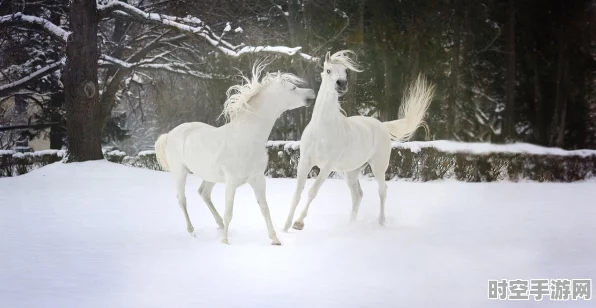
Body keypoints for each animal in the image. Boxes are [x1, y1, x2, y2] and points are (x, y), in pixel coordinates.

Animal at [155, 59, 316, 245]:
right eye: (293, 88)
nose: (312, 92)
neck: (246, 138)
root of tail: (169, 134)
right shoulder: (231, 182)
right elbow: (229, 212)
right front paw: (225, 241)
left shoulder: (258, 179)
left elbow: (264, 208)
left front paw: (275, 239)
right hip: (180, 172)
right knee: (182, 200)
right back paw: (192, 231)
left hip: (210, 176)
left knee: (204, 193)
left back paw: (218, 224)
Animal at [282, 50, 434, 231]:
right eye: (328, 70)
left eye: (345, 71)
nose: (341, 84)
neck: (322, 128)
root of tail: (382, 125)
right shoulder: (305, 162)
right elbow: (297, 192)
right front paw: (285, 227)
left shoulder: (327, 166)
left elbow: (313, 191)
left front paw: (298, 223)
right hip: (351, 172)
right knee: (357, 195)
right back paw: (351, 225)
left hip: (378, 166)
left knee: (382, 190)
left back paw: (381, 223)